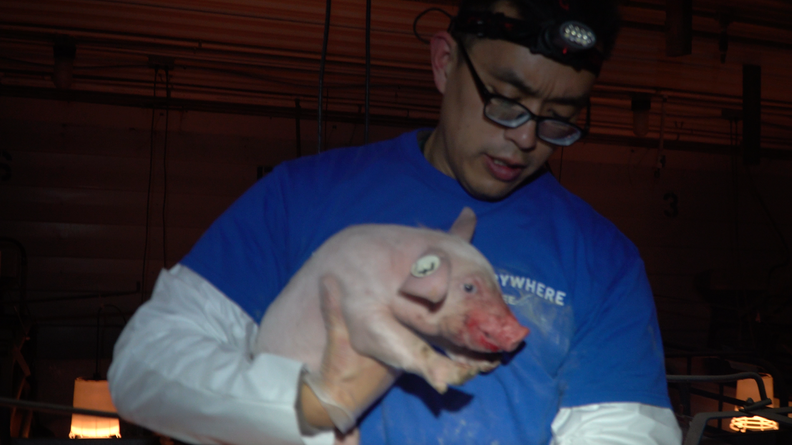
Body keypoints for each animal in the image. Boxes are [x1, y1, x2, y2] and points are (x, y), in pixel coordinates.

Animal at [254, 207, 529, 439]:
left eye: (495, 282)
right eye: (469, 287)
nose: (521, 332)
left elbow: (441, 338)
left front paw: (486, 365)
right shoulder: (355, 300)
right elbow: (400, 340)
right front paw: (461, 375)